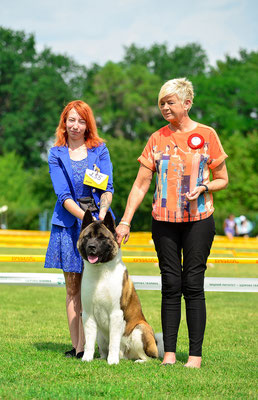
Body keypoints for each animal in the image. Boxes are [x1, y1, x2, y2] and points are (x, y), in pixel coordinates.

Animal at [76, 211, 163, 364]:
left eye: (102, 238)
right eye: (87, 237)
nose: (91, 246)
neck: (100, 273)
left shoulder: (116, 313)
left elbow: (114, 341)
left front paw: (112, 361)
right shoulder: (88, 314)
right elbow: (89, 341)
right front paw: (87, 358)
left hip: (140, 330)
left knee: (150, 357)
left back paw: (138, 361)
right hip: (100, 336)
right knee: (102, 348)